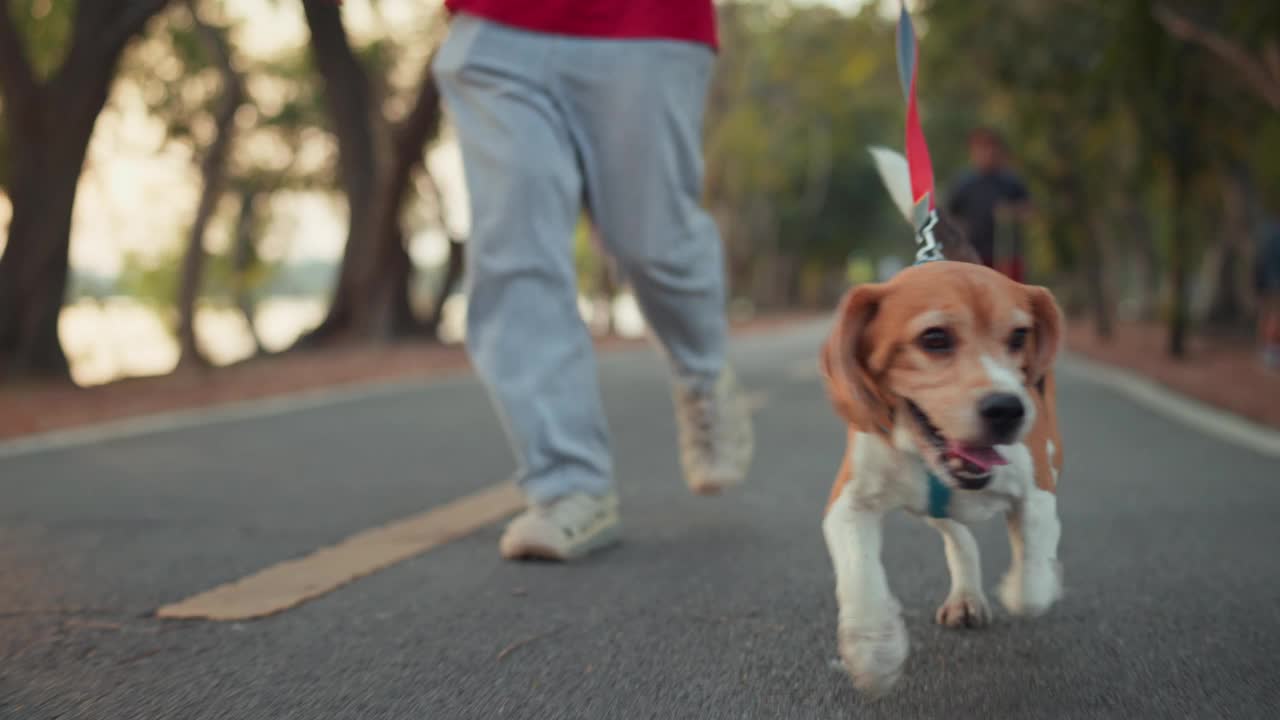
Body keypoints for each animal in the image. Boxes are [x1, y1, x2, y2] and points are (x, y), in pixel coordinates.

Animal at [814, 257, 1064, 691]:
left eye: (1019, 335)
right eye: (934, 338)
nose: (1007, 408)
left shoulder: (1039, 490)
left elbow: (1031, 586)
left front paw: (1032, 582)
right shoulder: (849, 501)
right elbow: (861, 574)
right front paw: (874, 648)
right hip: (930, 510)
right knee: (960, 538)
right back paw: (965, 596)